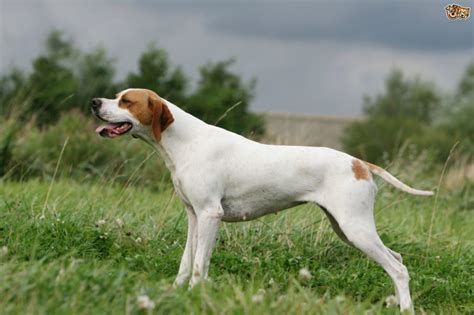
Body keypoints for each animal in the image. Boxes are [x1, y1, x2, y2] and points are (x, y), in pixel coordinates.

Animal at [90, 88, 434, 314]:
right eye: (116, 96)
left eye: (126, 101)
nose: (94, 102)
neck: (185, 142)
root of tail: (360, 163)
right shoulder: (193, 216)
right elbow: (187, 262)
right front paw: (176, 292)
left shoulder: (210, 215)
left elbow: (200, 265)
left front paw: (196, 296)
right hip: (347, 229)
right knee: (397, 258)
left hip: (355, 228)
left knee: (398, 268)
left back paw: (406, 309)